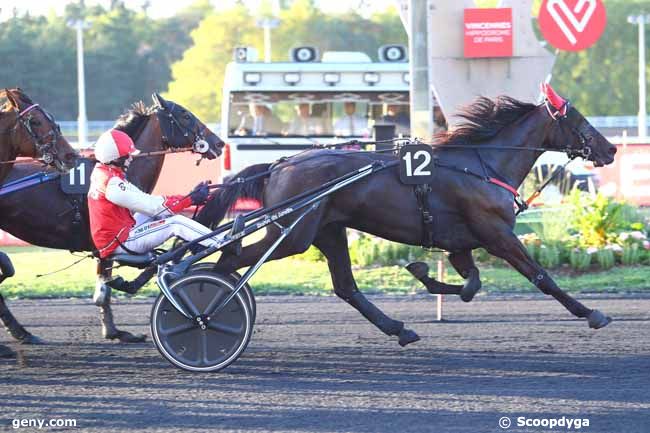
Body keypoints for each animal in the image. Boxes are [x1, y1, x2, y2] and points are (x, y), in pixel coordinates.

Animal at [0, 94, 223, 354]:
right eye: (185, 115)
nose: (219, 143)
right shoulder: (108, 245)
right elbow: (105, 291)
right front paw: (115, 330)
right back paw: (21, 333)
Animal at [200, 85, 616, 344]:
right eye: (580, 120)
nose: (611, 149)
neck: (481, 164)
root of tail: (280, 165)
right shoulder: (497, 234)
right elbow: (540, 276)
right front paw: (591, 313)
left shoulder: (461, 242)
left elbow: (471, 283)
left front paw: (422, 273)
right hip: (293, 235)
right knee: (229, 260)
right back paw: (205, 308)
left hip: (328, 231)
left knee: (346, 287)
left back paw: (399, 329)